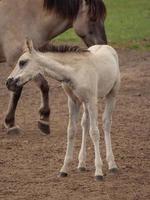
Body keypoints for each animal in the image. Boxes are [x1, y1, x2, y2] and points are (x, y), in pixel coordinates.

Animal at [0, 0, 107, 134]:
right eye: (93, 18)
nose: (103, 44)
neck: (29, 17)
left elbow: (44, 87)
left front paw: (44, 119)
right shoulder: (18, 62)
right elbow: (19, 91)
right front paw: (11, 124)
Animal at [6, 39, 120, 180]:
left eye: (22, 62)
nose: (8, 82)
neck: (75, 72)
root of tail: (107, 47)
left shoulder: (92, 101)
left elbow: (94, 132)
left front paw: (98, 172)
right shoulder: (73, 101)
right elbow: (71, 131)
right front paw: (64, 169)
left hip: (111, 94)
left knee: (106, 123)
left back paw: (112, 165)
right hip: (84, 103)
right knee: (85, 124)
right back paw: (81, 164)